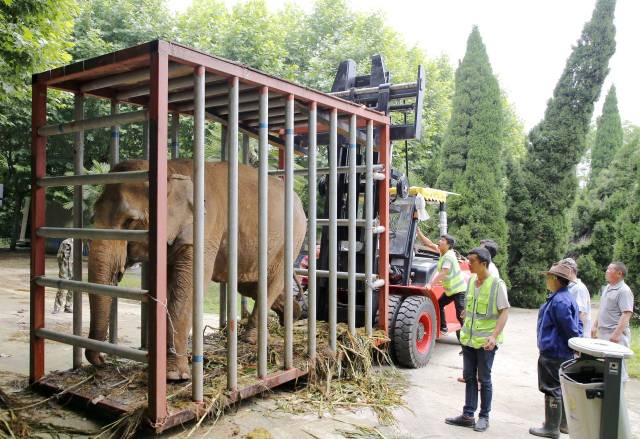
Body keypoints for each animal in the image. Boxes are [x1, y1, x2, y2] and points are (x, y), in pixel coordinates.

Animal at [87, 159, 308, 382]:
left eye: (130, 221)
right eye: (93, 216)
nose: (101, 361)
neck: (173, 170)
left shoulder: (205, 227)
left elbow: (189, 287)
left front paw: (174, 376)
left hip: (292, 239)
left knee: (270, 283)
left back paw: (251, 339)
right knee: (249, 285)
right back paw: (293, 315)